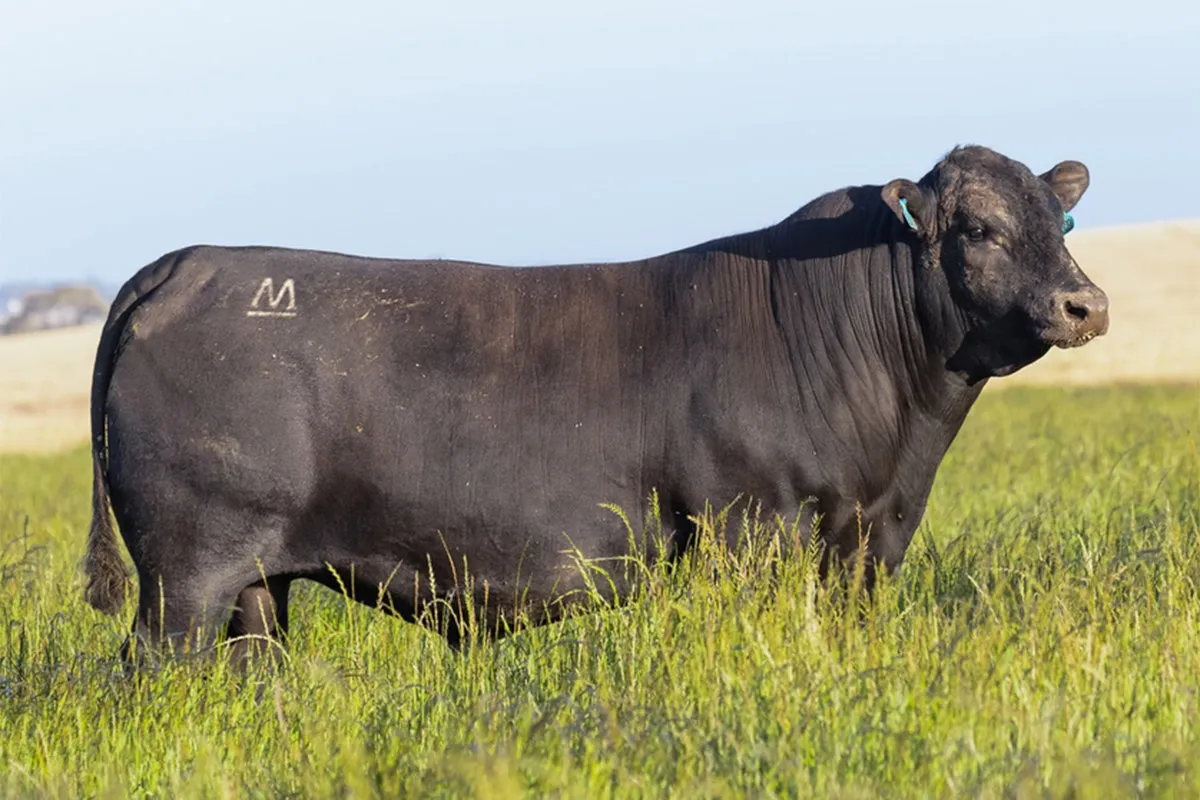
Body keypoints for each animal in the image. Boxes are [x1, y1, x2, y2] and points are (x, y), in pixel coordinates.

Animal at [83, 145, 1108, 663]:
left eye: (1060, 221)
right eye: (978, 228)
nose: (1085, 304)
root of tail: (186, 264)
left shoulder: (864, 544)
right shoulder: (752, 530)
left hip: (257, 580)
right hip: (185, 571)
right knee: (158, 669)